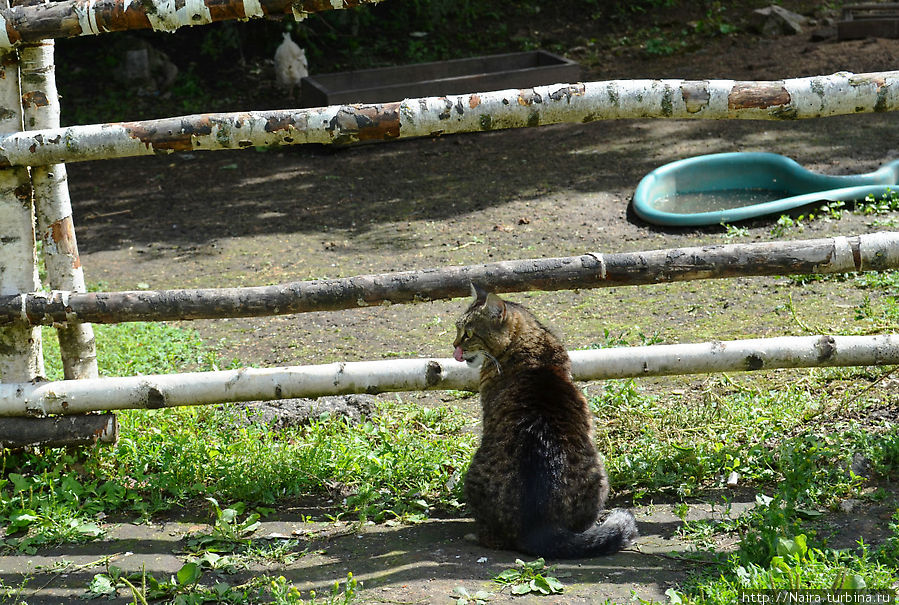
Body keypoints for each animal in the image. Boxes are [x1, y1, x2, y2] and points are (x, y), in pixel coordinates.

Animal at [454, 286, 636, 560]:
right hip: (599, 475)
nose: (454, 345)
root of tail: (537, 527)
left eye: (468, 334)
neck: (527, 342)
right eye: (458, 329)